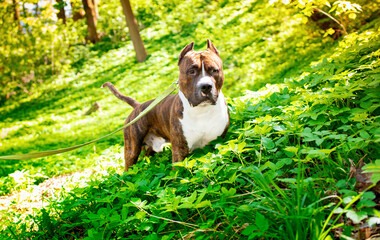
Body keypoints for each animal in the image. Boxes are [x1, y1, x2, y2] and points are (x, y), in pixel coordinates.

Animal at [101, 39, 229, 171]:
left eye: (214, 70)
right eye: (191, 71)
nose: (206, 86)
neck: (202, 112)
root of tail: (138, 106)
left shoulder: (218, 143)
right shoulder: (180, 152)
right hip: (132, 148)